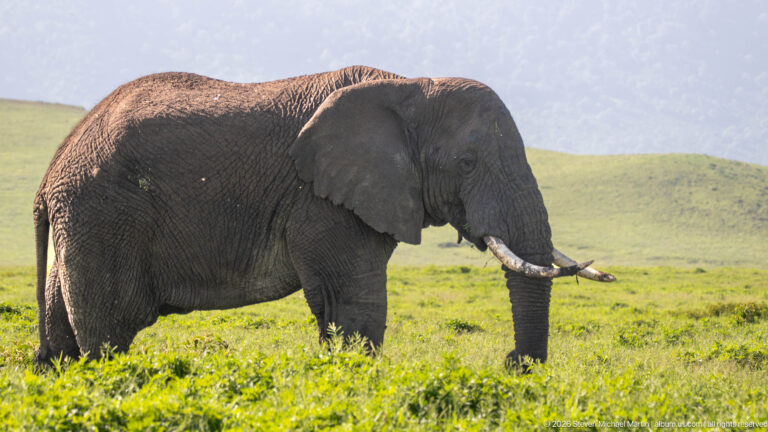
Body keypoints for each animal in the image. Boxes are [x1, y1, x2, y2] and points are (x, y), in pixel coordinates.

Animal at [33, 65, 614, 367]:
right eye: (467, 163)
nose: (514, 363)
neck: (410, 86)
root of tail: (51, 171)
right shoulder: (321, 201)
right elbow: (353, 305)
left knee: (64, 337)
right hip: (105, 216)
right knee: (108, 332)